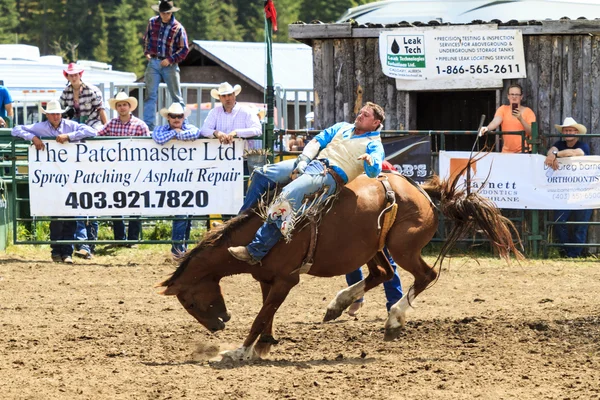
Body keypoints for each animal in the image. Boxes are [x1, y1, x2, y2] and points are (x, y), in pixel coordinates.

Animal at [157, 169, 524, 360]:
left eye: (190, 301)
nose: (220, 325)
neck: (262, 232)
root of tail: (422, 192)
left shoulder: (287, 280)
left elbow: (262, 315)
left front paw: (241, 351)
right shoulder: (267, 279)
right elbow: (267, 313)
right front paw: (263, 345)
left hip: (402, 247)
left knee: (425, 275)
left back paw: (394, 320)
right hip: (372, 247)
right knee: (382, 272)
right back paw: (339, 304)